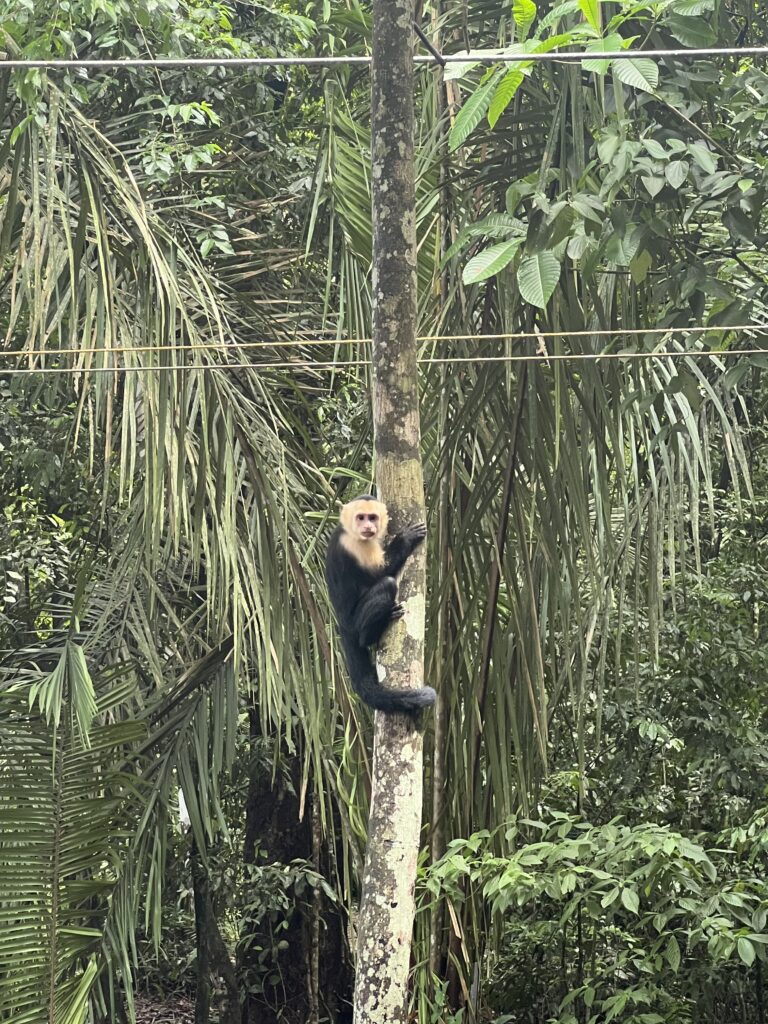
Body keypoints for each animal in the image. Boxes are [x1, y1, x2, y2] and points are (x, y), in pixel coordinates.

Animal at [325, 495, 436, 712]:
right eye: (361, 517)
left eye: (372, 517)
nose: (368, 526)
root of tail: (342, 624)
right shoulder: (356, 544)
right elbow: (381, 573)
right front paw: (404, 539)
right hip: (354, 622)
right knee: (387, 584)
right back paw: (370, 634)